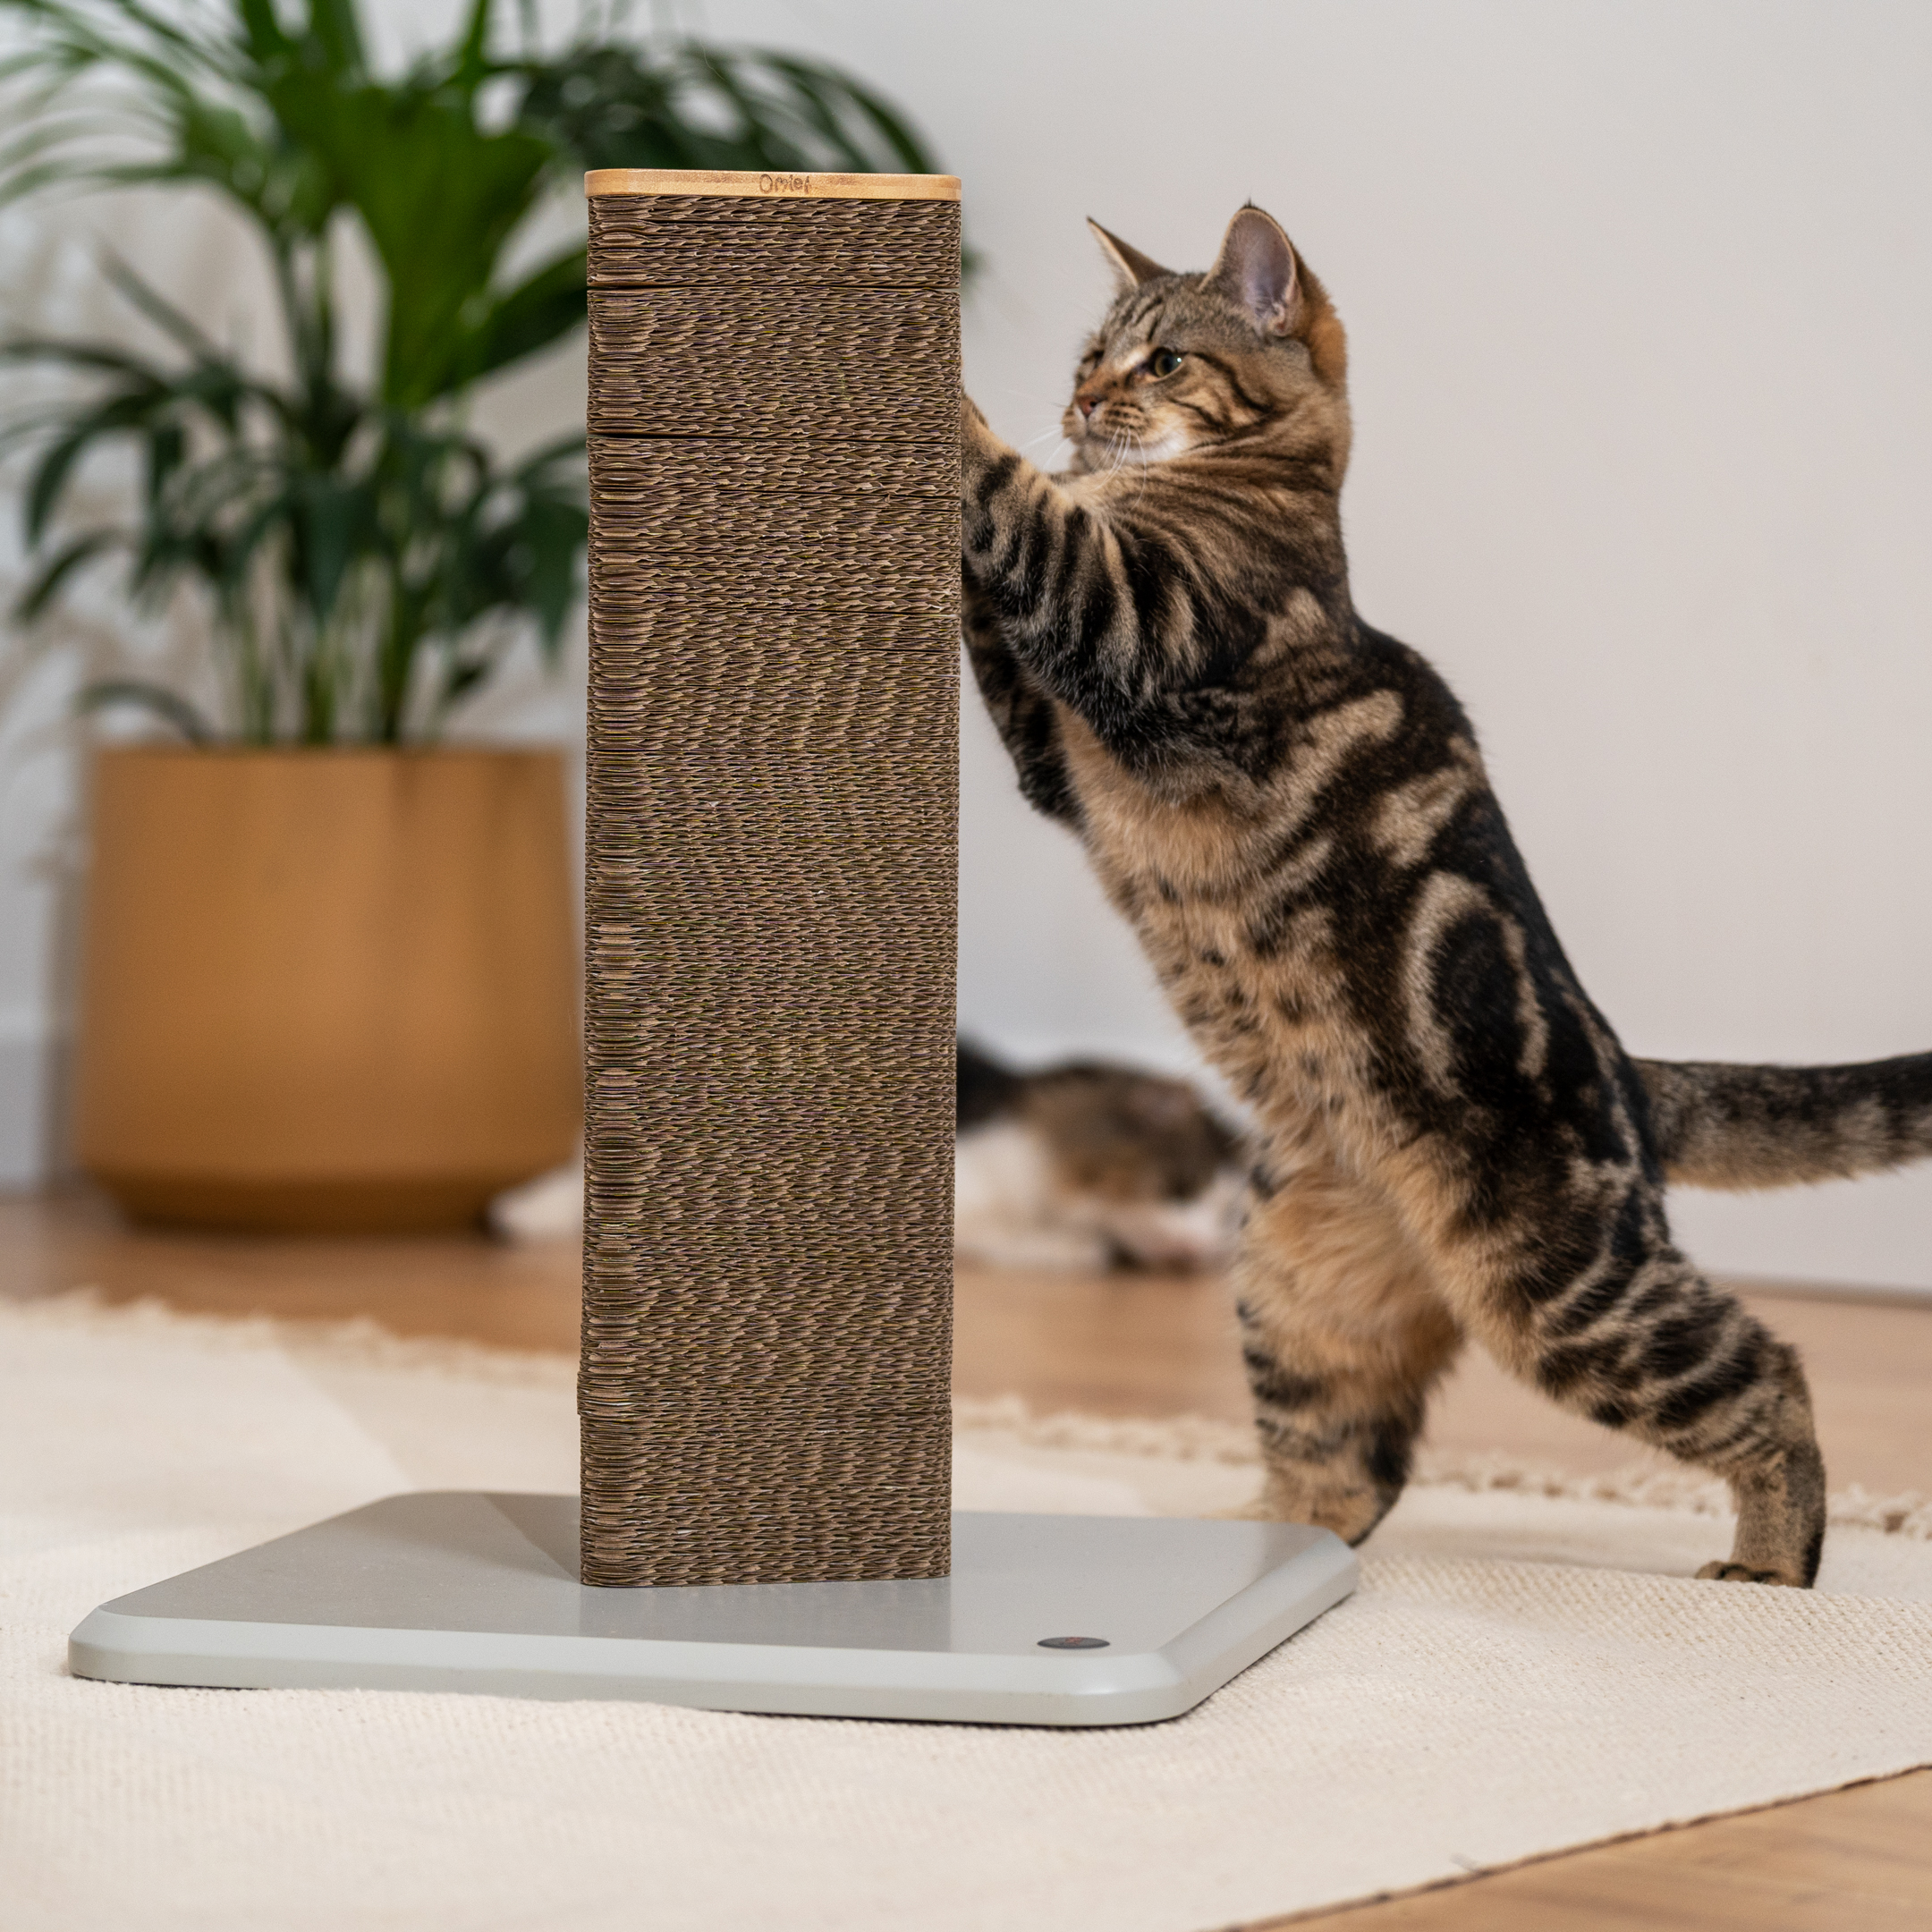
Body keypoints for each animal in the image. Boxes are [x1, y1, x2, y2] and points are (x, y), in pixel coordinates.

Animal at [962, 203, 1932, 1584]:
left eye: (1164, 362)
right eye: (1094, 353)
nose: (1084, 399)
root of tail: (1630, 1073)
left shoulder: (1131, 623)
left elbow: (1018, 503)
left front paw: (958, 406)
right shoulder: (1054, 753)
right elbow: (997, 593)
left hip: (1566, 1295)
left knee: (1771, 1378)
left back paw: (1770, 1568)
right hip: (1297, 1293)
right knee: (1345, 1478)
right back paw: (1250, 1554)